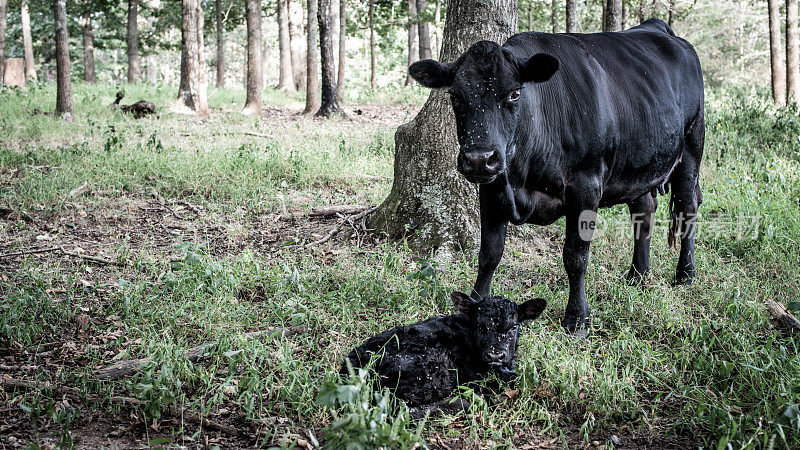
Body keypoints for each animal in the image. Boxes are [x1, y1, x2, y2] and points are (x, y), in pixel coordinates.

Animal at [410, 19, 704, 336]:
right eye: (455, 96)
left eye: (514, 93)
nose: (479, 158)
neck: (520, 178)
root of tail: (658, 27)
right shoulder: (492, 187)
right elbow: (489, 253)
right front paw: (474, 307)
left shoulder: (586, 186)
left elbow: (575, 256)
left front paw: (577, 319)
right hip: (640, 164)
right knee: (644, 211)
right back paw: (637, 275)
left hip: (691, 148)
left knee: (687, 209)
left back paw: (685, 275)